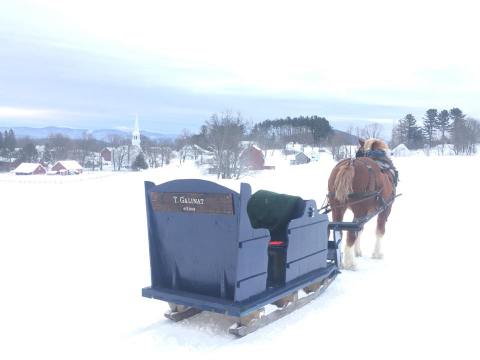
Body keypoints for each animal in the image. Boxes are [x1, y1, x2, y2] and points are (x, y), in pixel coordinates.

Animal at [328, 139, 396, 270]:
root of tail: (350, 164)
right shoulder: (386, 209)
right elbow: (380, 231)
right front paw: (377, 254)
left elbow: (360, 230)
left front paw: (358, 251)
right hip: (360, 210)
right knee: (350, 233)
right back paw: (349, 264)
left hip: (337, 208)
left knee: (339, 231)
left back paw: (341, 259)